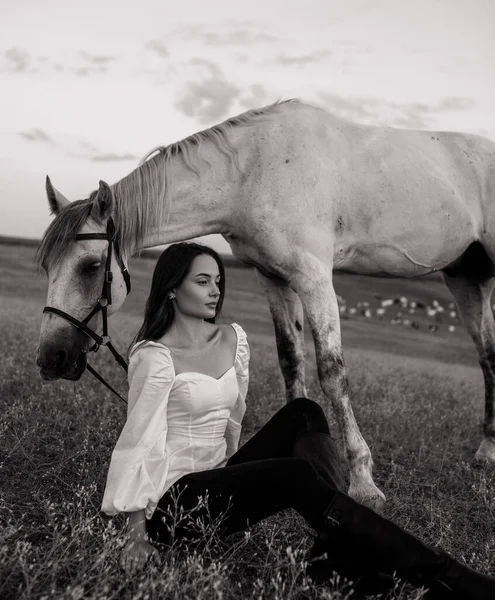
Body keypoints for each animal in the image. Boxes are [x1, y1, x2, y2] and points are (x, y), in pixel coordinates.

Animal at [36, 99, 495, 510]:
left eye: (91, 266)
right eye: (45, 266)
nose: (50, 358)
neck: (252, 171)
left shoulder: (315, 278)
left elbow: (332, 372)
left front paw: (363, 482)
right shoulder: (274, 279)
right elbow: (291, 361)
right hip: (467, 280)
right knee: (487, 357)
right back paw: (487, 450)